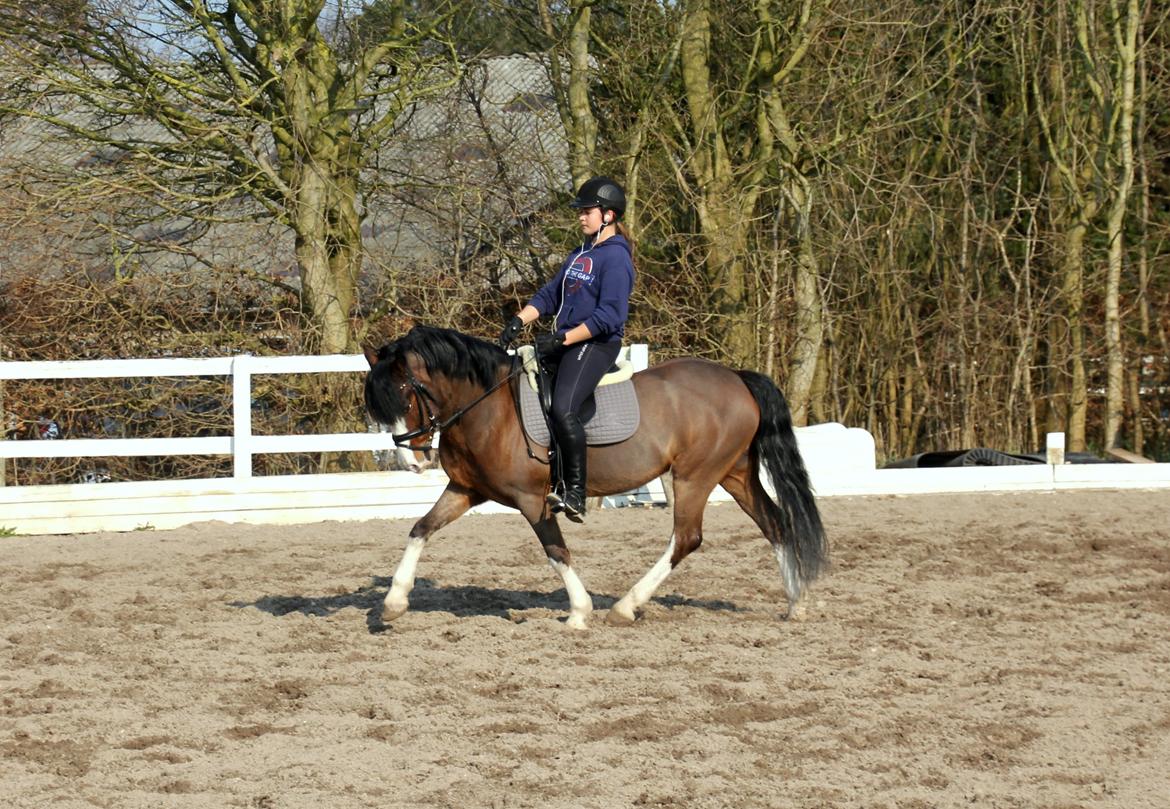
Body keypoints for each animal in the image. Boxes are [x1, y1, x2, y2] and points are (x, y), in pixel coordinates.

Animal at [360, 325, 828, 627]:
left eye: (406, 394)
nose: (412, 461)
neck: (489, 406)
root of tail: (737, 378)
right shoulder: (466, 490)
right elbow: (420, 529)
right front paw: (394, 602)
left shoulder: (531, 500)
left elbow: (556, 551)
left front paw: (580, 612)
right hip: (734, 473)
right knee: (775, 524)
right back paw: (797, 605)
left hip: (695, 476)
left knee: (686, 538)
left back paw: (625, 607)